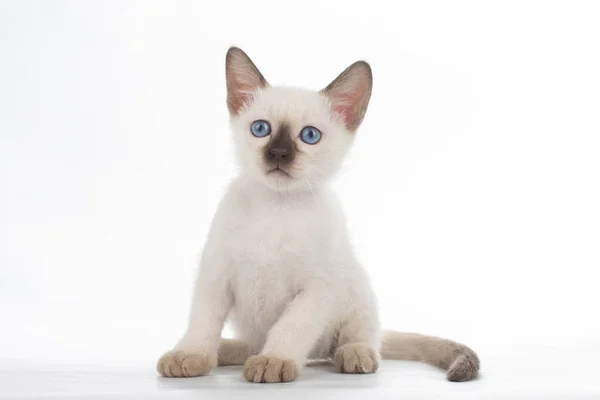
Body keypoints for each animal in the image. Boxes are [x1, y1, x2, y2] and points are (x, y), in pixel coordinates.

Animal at [157, 47, 480, 384]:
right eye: (260, 129)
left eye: (310, 135)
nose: (278, 154)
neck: (277, 207)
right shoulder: (216, 274)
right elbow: (203, 322)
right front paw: (192, 356)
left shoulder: (317, 288)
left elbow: (290, 327)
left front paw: (275, 360)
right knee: (251, 345)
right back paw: (226, 351)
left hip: (355, 289)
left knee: (358, 341)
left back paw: (354, 355)